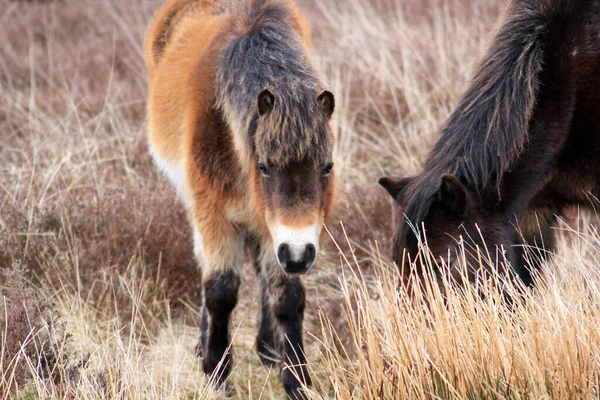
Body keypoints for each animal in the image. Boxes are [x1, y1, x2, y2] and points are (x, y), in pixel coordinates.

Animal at [143, 0, 336, 396]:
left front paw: (296, 379)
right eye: (263, 166)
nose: (298, 254)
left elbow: (287, 295)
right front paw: (216, 373)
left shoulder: (278, 232)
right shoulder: (212, 213)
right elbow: (220, 291)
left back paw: (267, 349)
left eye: (327, 167)